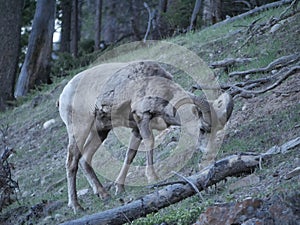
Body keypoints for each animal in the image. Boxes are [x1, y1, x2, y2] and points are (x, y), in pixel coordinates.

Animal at [58, 60, 232, 212]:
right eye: (202, 129)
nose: (209, 154)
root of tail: (63, 95)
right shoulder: (142, 117)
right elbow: (150, 142)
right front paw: (152, 178)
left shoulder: (136, 128)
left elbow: (130, 154)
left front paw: (119, 188)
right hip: (79, 129)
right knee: (72, 162)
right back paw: (76, 206)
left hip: (101, 131)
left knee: (85, 159)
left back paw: (104, 194)